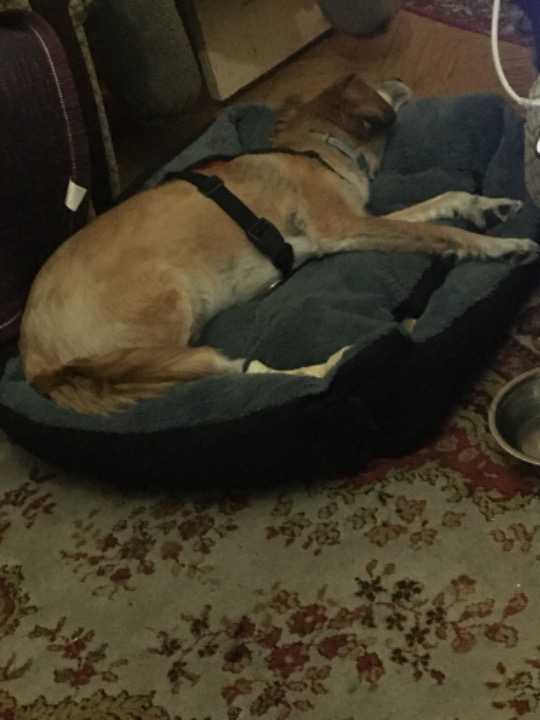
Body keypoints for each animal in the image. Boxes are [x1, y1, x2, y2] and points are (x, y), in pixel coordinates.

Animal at [19, 74, 537, 414]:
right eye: (372, 82)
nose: (399, 79)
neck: (315, 151)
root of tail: (34, 363)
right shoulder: (340, 228)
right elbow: (441, 232)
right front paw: (500, 245)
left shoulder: (358, 220)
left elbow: (443, 200)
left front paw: (488, 206)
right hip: (163, 310)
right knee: (226, 370)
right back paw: (329, 366)